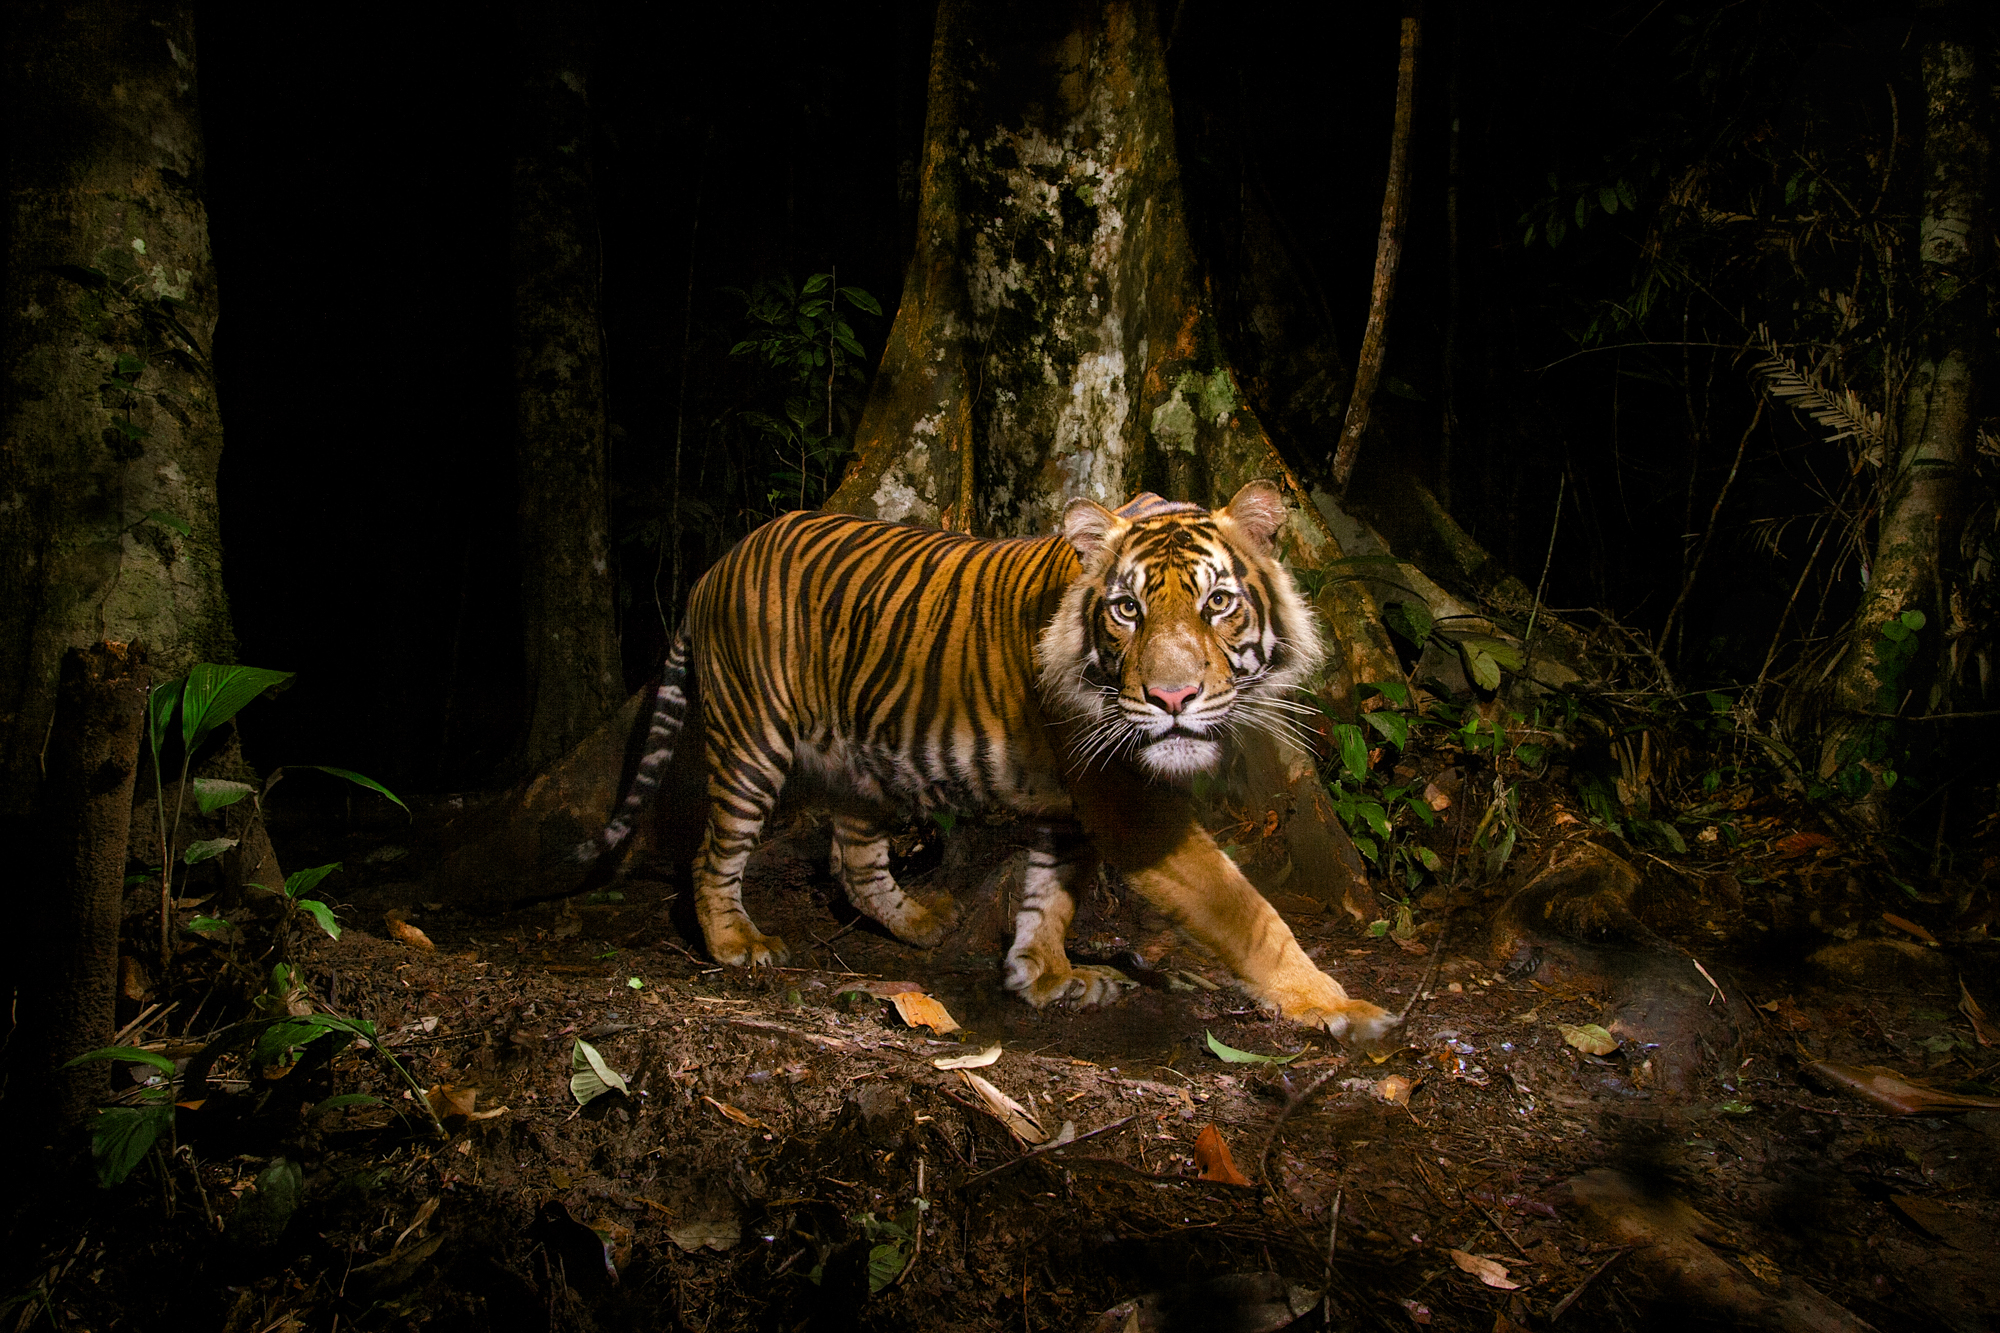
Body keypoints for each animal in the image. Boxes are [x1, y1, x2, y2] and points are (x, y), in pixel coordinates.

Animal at [580, 478, 1392, 1040]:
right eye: (1126, 609)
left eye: (1217, 602)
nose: (1171, 696)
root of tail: (714, 567)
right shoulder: (1128, 804)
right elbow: (1248, 913)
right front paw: (1340, 1005)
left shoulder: (1075, 804)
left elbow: (1048, 897)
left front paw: (1046, 978)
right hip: (753, 739)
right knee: (714, 852)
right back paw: (737, 943)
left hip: (864, 761)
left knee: (855, 857)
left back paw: (921, 923)